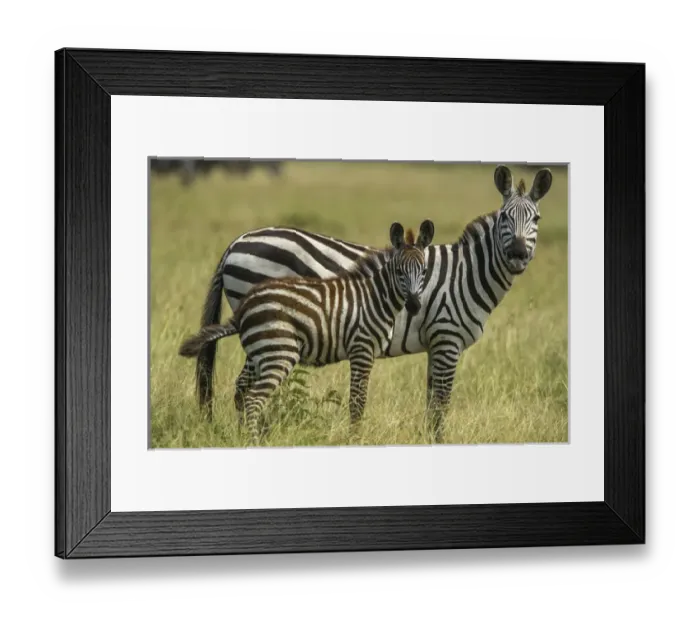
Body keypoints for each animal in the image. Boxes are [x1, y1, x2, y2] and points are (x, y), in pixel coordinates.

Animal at [179, 220, 435, 444]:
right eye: (400, 272)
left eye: (424, 271)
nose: (415, 306)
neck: (375, 297)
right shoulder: (363, 348)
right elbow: (358, 401)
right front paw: (355, 439)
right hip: (276, 350)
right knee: (252, 395)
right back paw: (253, 440)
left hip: (262, 350)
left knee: (244, 389)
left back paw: (246, 435)